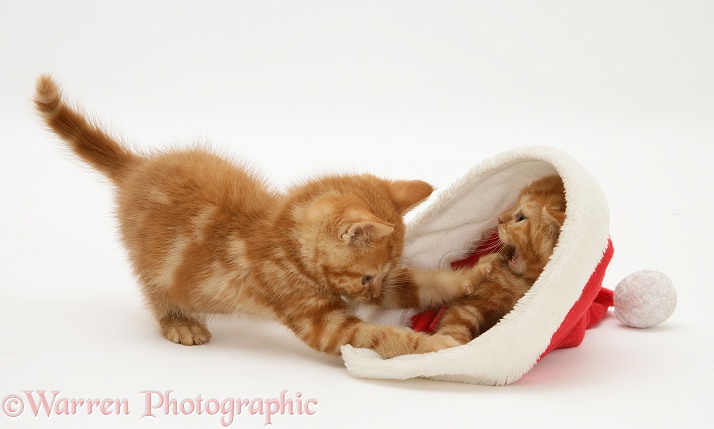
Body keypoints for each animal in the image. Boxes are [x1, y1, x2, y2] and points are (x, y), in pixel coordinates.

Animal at [34, 76, 490, 358]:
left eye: (378, 277)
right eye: (364, 277)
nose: (370, 295)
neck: (283, 237)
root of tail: (137, 168)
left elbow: (419, 283)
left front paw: (472, 275)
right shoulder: (324, 322)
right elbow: (379, 334)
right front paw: (431, 348)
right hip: (153, 263)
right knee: (156, 290)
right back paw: (179, 322)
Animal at [432, 175, 564, 344]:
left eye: (521, 217)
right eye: (514, 204)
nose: (500, 218)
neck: (523, 282)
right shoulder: (470, 304)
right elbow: (454, 328)